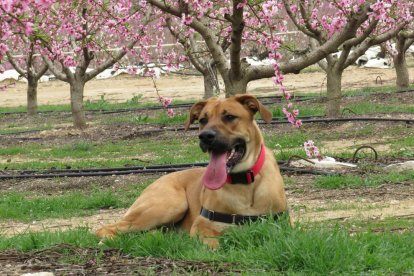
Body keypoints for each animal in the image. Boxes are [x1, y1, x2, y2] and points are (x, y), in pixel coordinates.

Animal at [96, 95, 288, 248]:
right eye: (203, 120)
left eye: (229, 117)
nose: (205, 136)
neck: (245, 185)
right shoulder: (201, 226)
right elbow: (215, 244)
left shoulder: (284, 226)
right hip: (169, 204)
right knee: (105, 228)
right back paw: (109, 240)